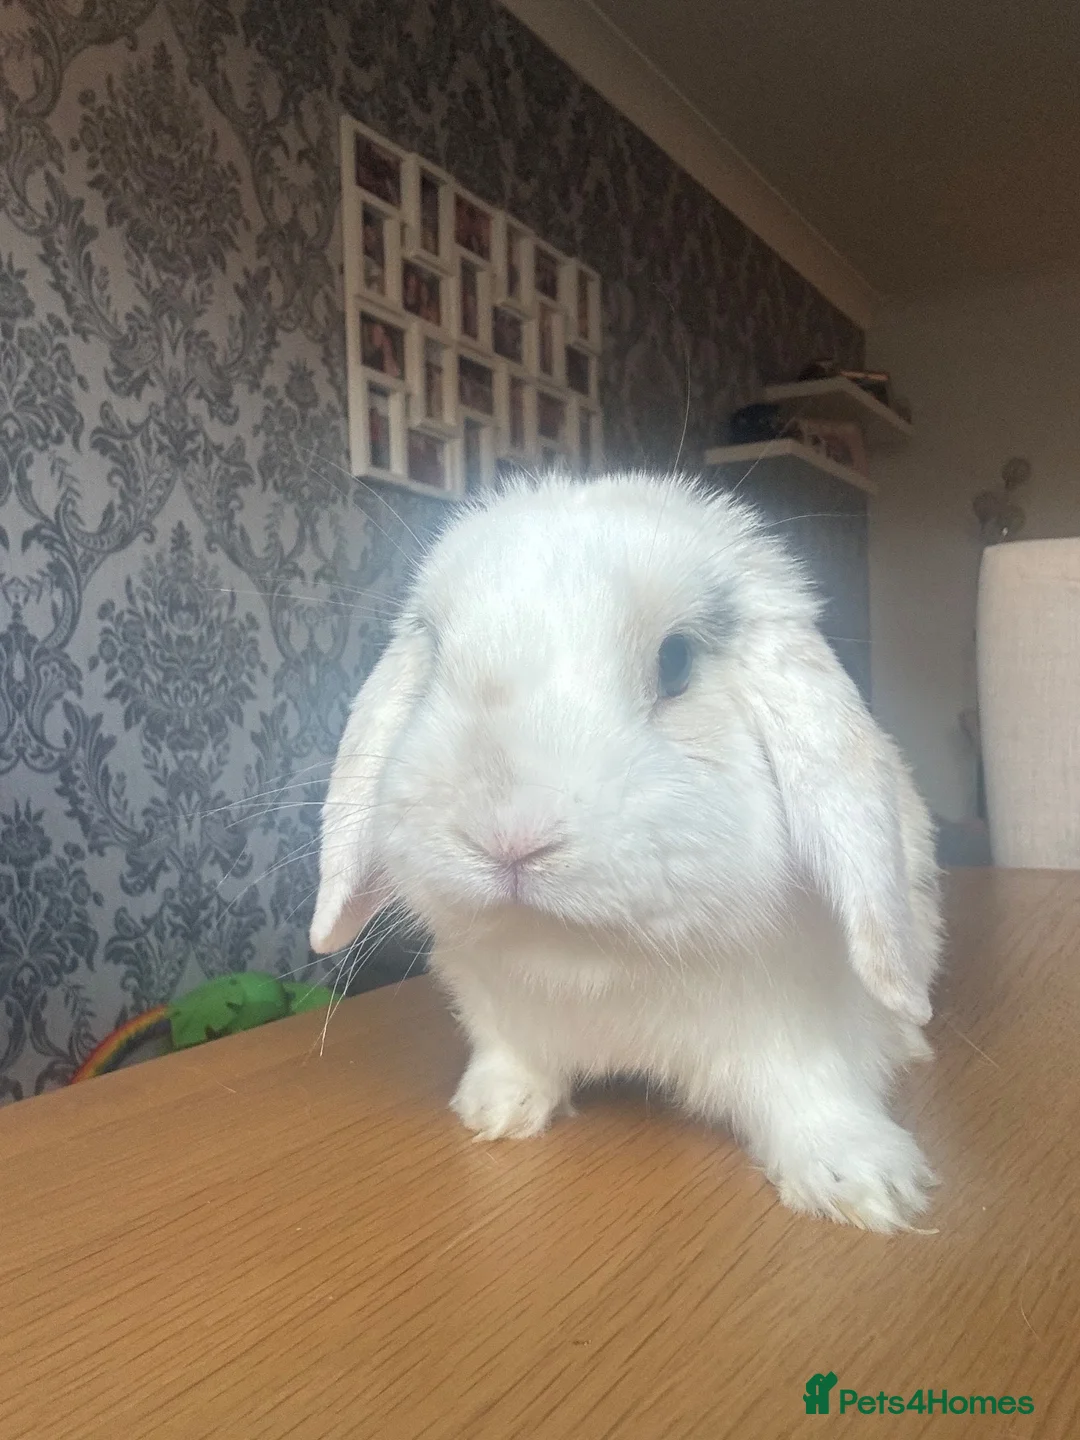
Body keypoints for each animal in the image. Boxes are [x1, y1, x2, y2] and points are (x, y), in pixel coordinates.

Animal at [309, 471, 943, 1232]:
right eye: (434, 659)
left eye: (676, 661)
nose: (507, 835)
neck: (596, 955)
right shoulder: (499, 1007)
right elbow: (511, 1055)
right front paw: (495, 1111)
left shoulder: (803, 1032)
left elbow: (815, 1095)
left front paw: (863, 1186)